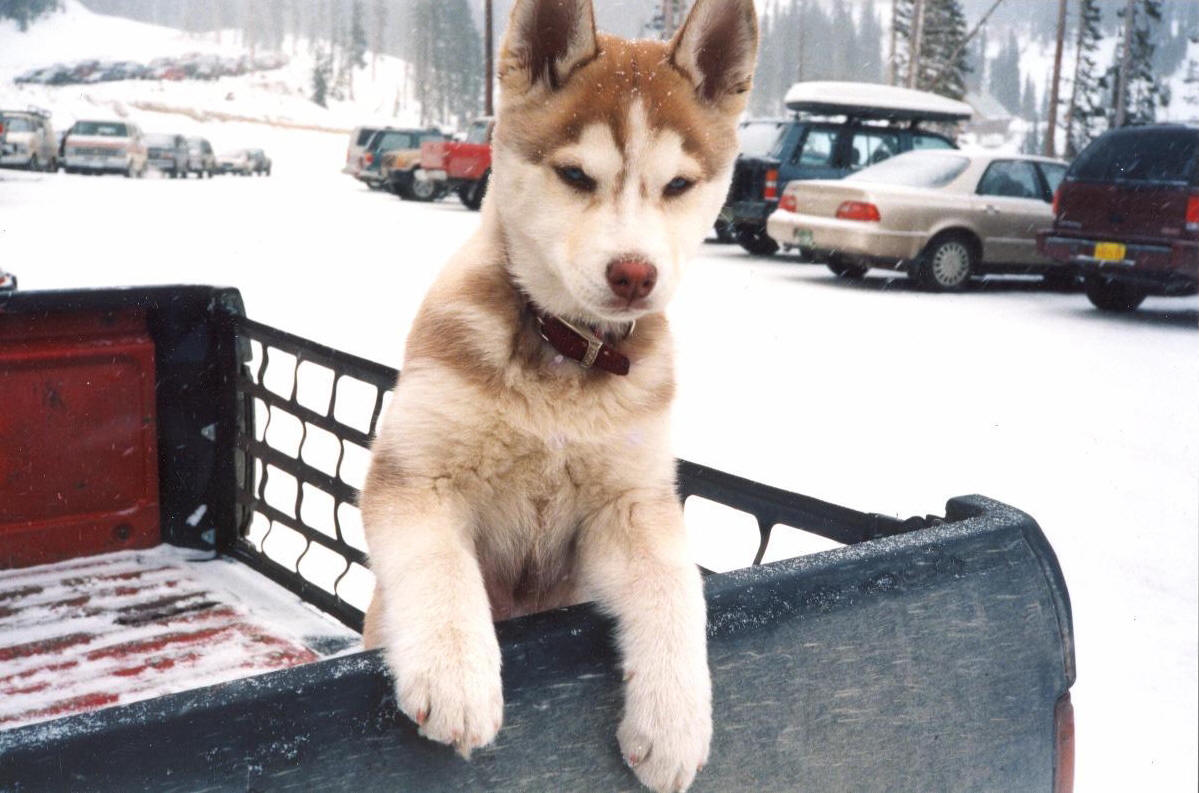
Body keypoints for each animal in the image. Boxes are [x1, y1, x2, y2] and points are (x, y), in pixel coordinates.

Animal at [360, 1, 757, 790]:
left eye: (678, 185)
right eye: (575, 175)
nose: (634, 274)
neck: (565, 359)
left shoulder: (630, 505)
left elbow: (675, 589)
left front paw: (675, 723)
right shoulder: (413, 477)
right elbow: (440, 566)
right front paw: (456, 672)